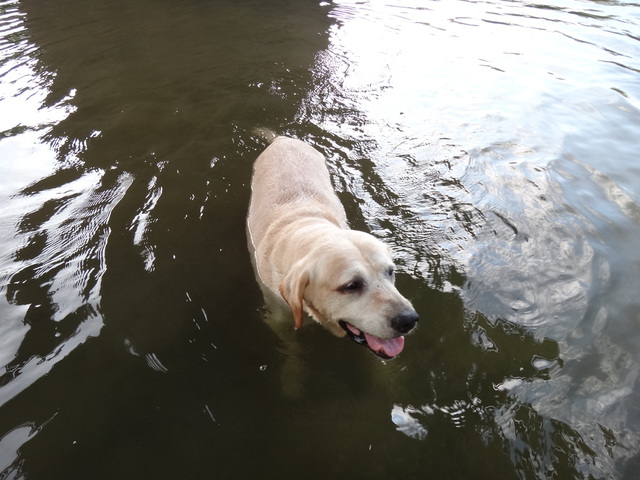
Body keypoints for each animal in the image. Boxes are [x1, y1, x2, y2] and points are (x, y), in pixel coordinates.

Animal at [246, 129, 420, 362]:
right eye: (352, 285)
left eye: (390, 272)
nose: (409, 319)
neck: (311, 226)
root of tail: (282, 139)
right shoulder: (280, 321)